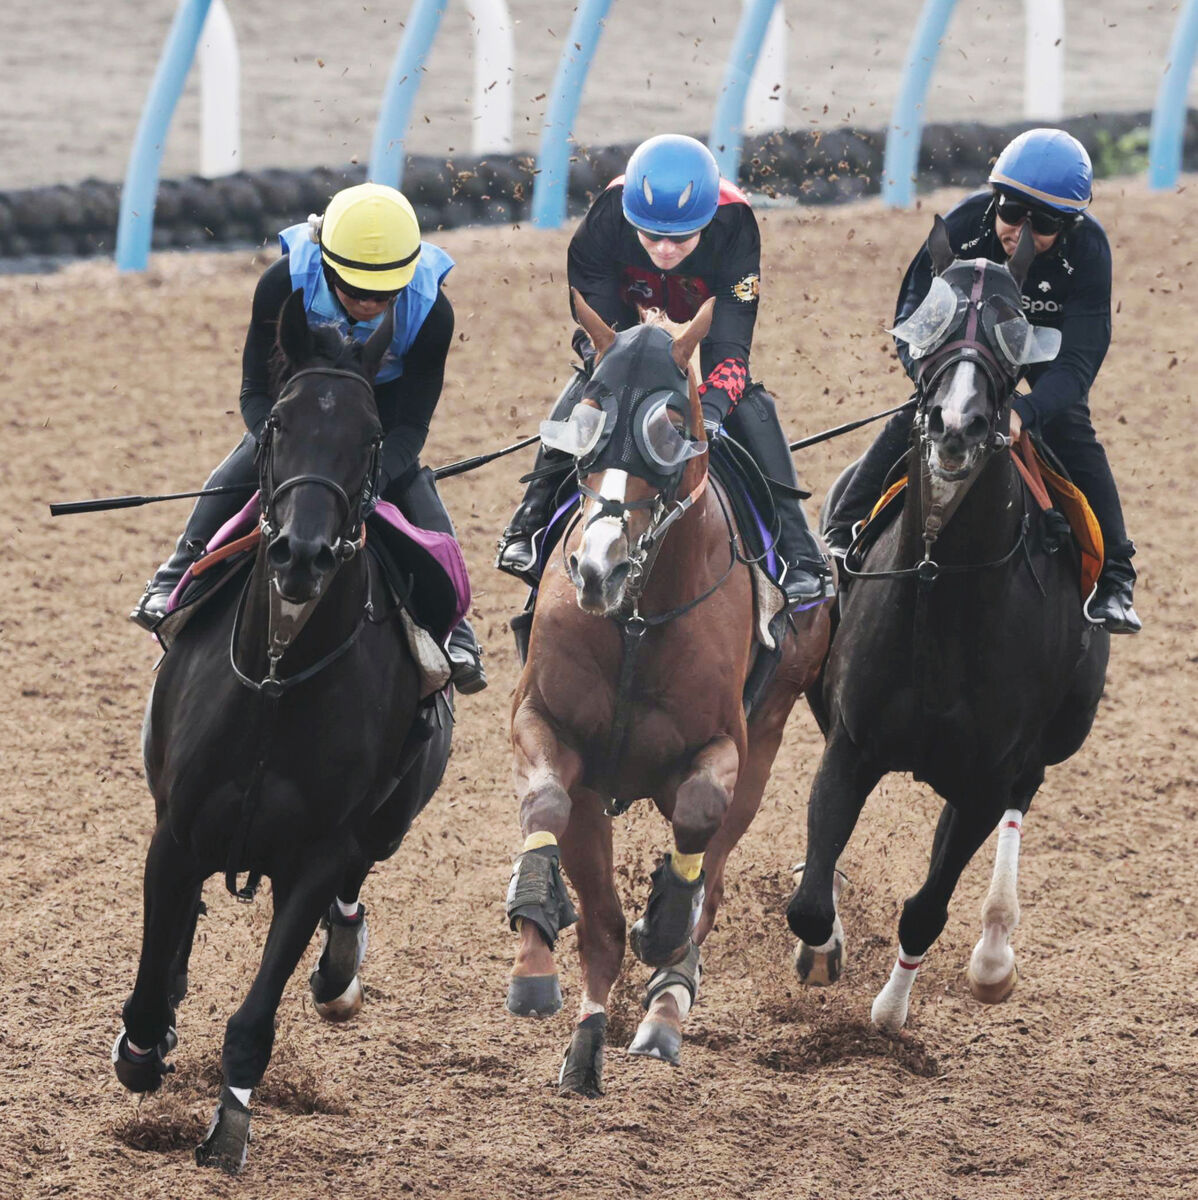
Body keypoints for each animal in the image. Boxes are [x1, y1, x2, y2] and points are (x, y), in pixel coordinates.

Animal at [113, 290, 451, 1171]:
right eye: (279, 425)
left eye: (369, 436)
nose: (302, 553)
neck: (275, 679)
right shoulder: (176, 832)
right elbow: (152, 975)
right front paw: (144, 1046)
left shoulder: (315, 854)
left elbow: (255, 1016)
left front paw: (228, 1128)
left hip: (389, 819)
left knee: (353, 891)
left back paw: (338, 972)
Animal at [501, 292, 830, 1099]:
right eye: (588, 414)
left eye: (673, 424)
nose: (597, 566)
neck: (637, 619)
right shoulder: (549, 728)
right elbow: (551, 817)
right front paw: (534, 954)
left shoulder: (727, 746)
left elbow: (699, 820)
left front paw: (666, 924)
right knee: (605, 921)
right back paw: (588, 1041)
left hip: (766, 742)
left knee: (712, 877)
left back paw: (663, 1013)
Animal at [792, 220, 1109, 1027]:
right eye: (933, 318)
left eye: (1012, 326)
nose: (957, 423)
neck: (942, 587)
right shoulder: (852, 740)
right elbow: (811, 899)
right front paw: (823, 946)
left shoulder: (985, 779)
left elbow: (926, 909)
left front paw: (890, 1012)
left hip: (1047, 743)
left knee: (1022, 800)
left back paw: (994, 952)